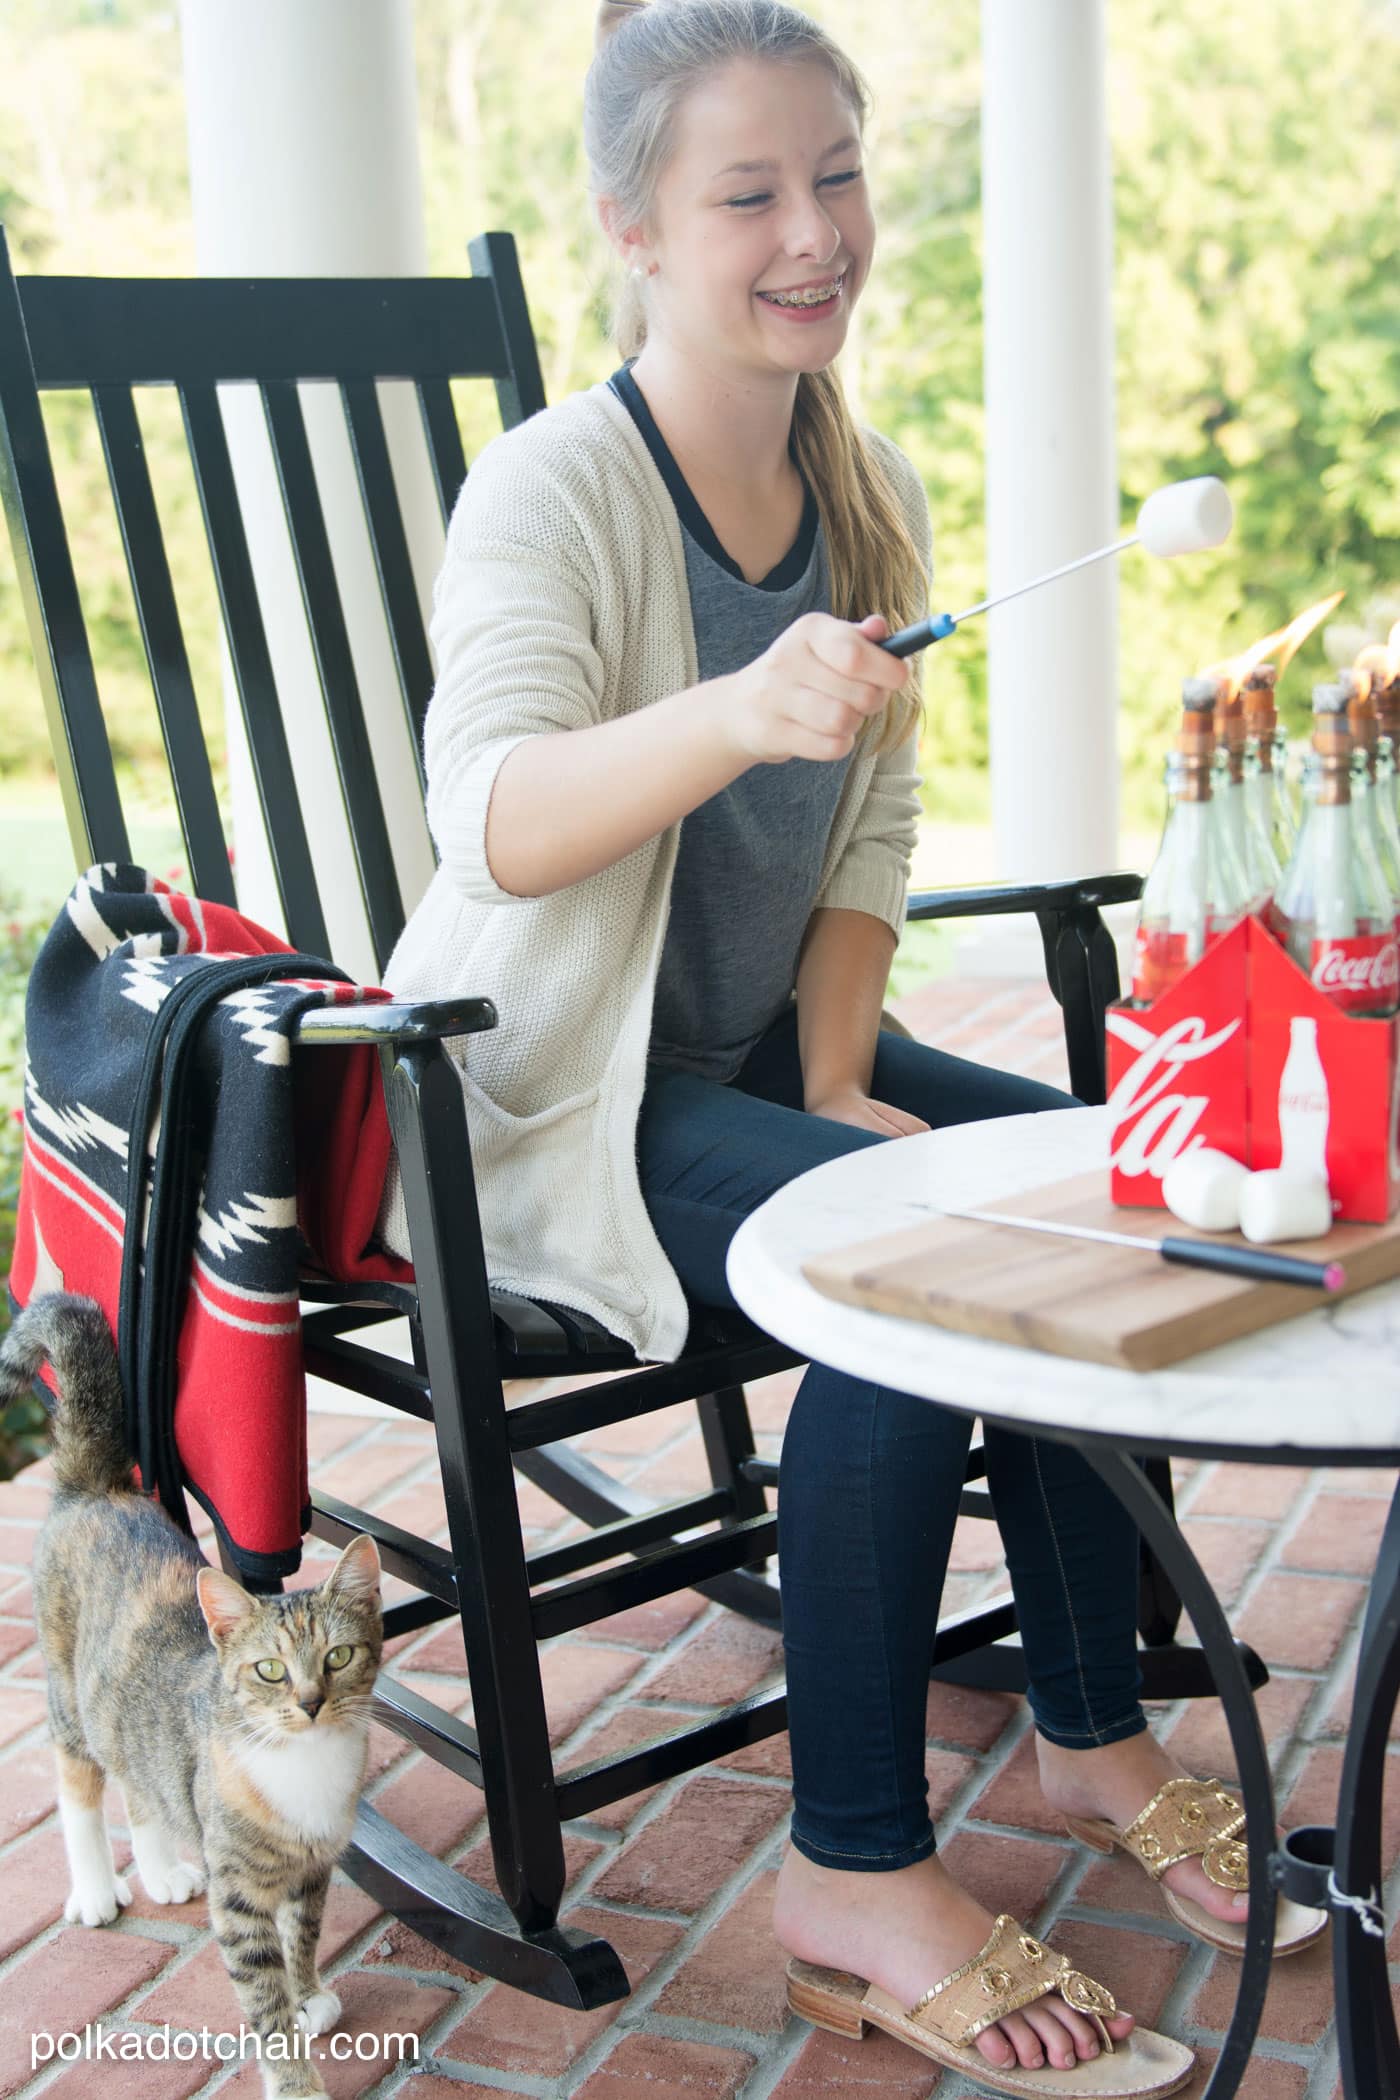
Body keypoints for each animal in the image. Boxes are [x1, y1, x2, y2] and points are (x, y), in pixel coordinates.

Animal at [0, 1285, 384, 2091]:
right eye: (269, 1670)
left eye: (337, 1657)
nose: (310, 1703)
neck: (305, 1768)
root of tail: (98, 1487)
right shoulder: (238, 1893)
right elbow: (262, 1995)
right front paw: (296, 2080)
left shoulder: (313, 1871)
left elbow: (303, 1937)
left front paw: (310, 1994)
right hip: (65, 1694)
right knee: (79, 1787)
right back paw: (94, 1889)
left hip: (128, 1721)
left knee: (140, 1780)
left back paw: (160, 1867)